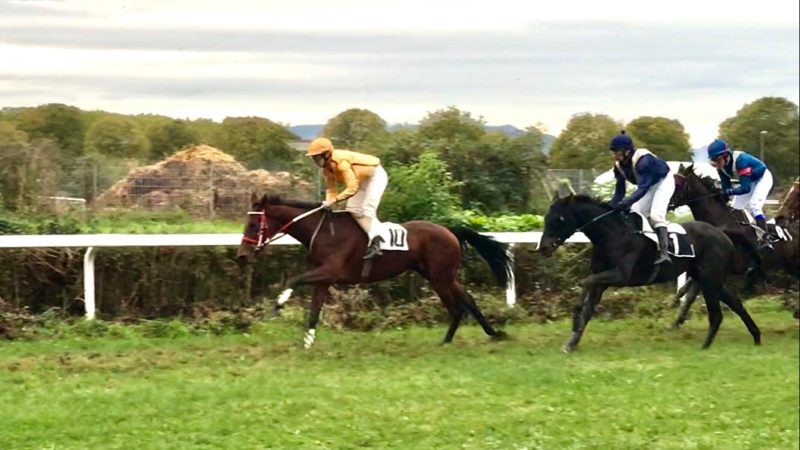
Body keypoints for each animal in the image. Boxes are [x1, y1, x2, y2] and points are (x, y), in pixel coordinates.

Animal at [238, 193, 512, 348]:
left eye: (252, 224)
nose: (242, 255)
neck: (323, 231)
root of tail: (450, 230)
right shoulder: (322, 279)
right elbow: (314, 310)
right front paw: (307, 342)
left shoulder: (329, 272)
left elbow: (293, 280)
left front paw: (277, 307)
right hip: (441, 274)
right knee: (468, 299)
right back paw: (493, 333)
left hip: (439, 277)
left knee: (456, 307)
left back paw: (446, 340)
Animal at [536, 193, 756, 352]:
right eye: (546, 218)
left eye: (558, 219)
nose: (543, 248)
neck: (613, 235)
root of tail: (721, 232)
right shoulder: (603, 281)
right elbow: (589, 306)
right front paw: (572, 342)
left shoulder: (620, 275)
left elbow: (585, 283)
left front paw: (574, 320)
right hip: (708, 278)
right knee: (735, 303)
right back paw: (756, 336)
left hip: (710, 278)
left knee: (717, 312)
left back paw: (706, 345)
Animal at [668, 165, 800, 326]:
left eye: (678, 184)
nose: (667, 203)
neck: (719, 222)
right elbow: (690, 292)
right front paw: (677, 317)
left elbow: (693, 291)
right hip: (791, 266)